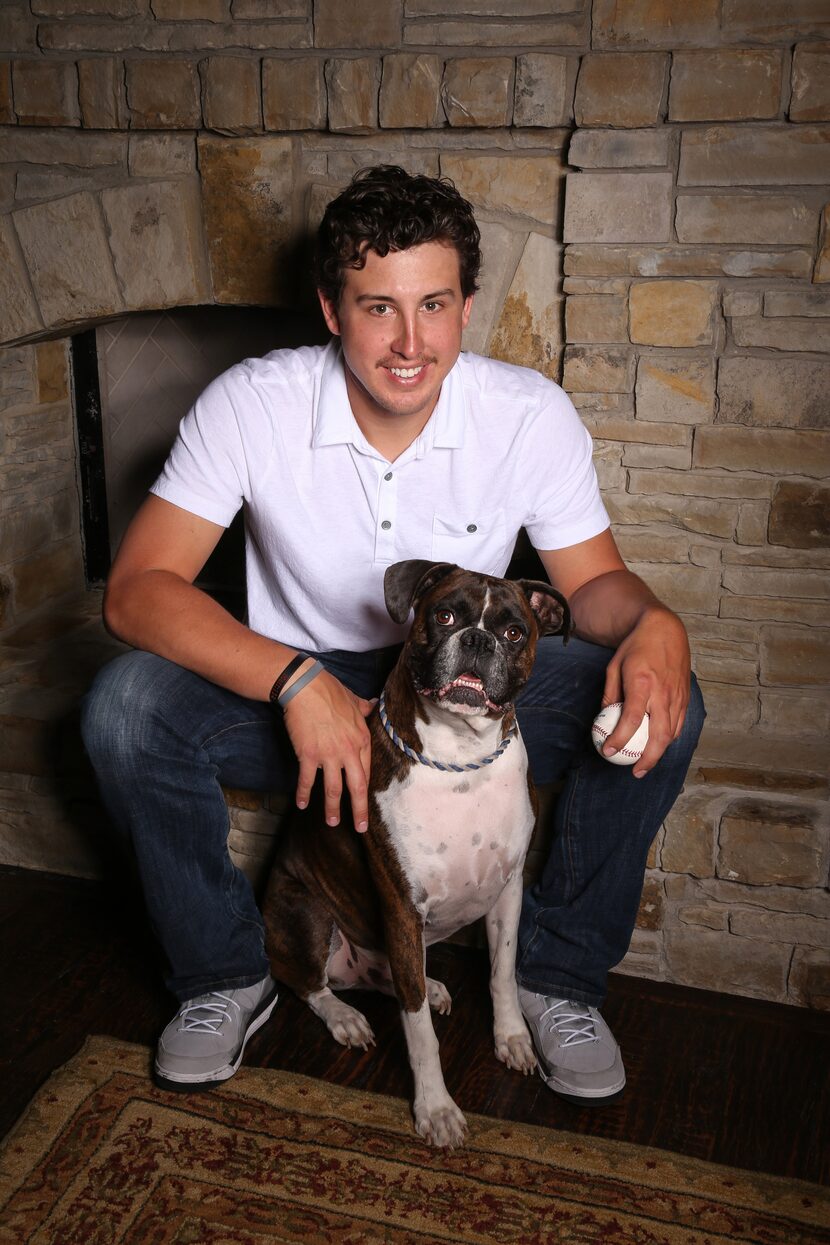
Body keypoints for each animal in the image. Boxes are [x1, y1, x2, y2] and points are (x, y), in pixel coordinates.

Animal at [262, 560, 567, 1140]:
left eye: (514, 633)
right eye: (444, 615)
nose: (477, 639)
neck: (460, 755)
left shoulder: (508, 890)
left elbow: (502, 972)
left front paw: (512, 1037)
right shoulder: (402, 906)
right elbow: (418, 1027)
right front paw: (436, 1108)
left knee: (395, 981)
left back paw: (432, 984)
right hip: (304, 909)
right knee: (312, 984)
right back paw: (345, 1017)